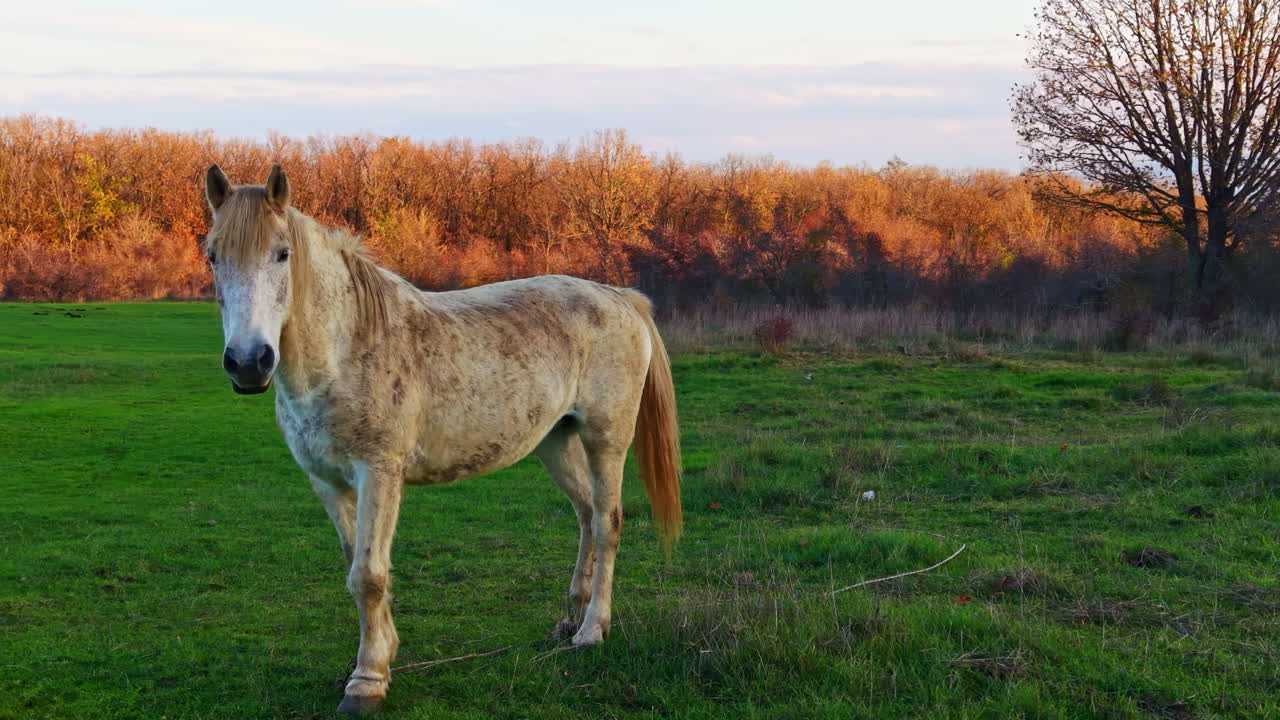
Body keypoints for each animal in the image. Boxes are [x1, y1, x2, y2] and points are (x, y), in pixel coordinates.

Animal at [202, 164, 682, 715]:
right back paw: (569, 618)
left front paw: (367, 681)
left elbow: (369, 575)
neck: (347, 349)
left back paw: (591, 630)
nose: (248, 362)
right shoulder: (327, 481)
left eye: (282, 253)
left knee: (607, 523)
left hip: (607, 438)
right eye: (212, 255)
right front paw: (382, 653)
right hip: (555, 442)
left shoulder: (379, 473)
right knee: (584, 515)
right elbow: (355, 565)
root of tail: (618, 296)